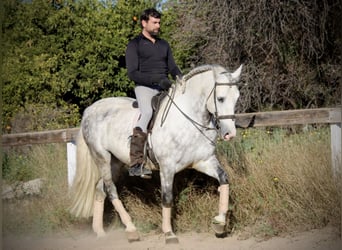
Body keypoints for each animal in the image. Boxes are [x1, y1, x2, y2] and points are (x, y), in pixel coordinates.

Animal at [69, 63, 243, 243]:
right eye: (220, 98)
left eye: (236, 98)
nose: (230, 134)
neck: (189, 120)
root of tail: (89, 110)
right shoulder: (167, 167)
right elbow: (167, 198)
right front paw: (169, 233)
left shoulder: (205, 160)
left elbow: (224, 179)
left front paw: (220, 223)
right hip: (102, 157)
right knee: (111, 190)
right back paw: (131, 229)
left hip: (115, 162)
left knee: (100, 189)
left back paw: (100, 232)